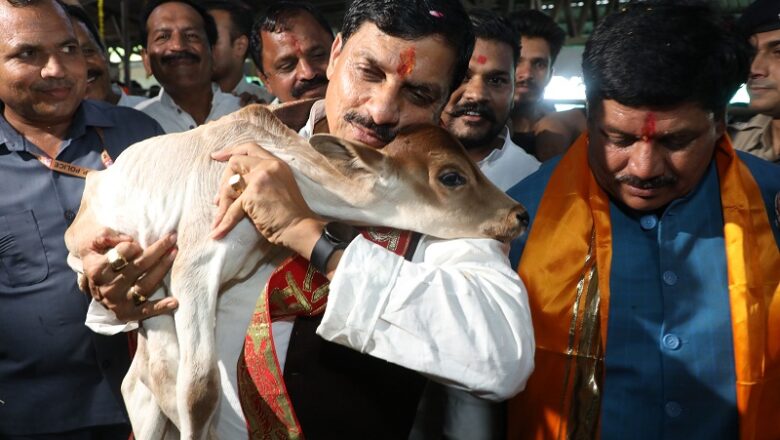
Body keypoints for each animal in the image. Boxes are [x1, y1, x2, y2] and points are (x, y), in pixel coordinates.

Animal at [65, 103, 524, 436]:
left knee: (147, 378)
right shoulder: (191, 265)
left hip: (156, 300)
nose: (517, 214)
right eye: (452, 176)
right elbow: (199, 391)